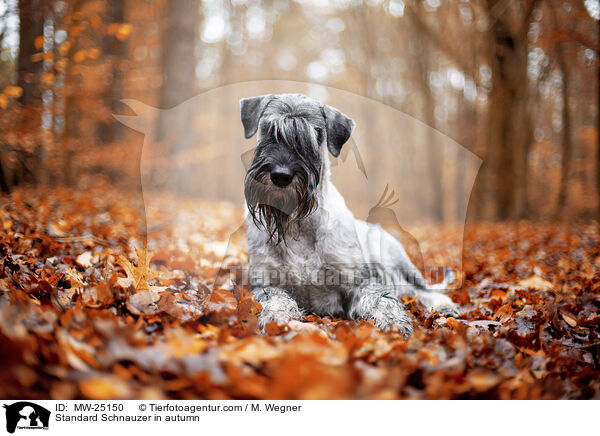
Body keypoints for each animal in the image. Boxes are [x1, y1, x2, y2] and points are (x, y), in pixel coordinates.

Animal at [241, 93, 458, 338]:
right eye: (268, 130)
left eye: (315, 136)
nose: (281, 175)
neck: (298, 224)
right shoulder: (266, 283)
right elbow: (274, 300)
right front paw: (276, 319)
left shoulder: (358, 282)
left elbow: (381, 299)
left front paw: (394, 323)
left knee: (421, 289)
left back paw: (445, 307)